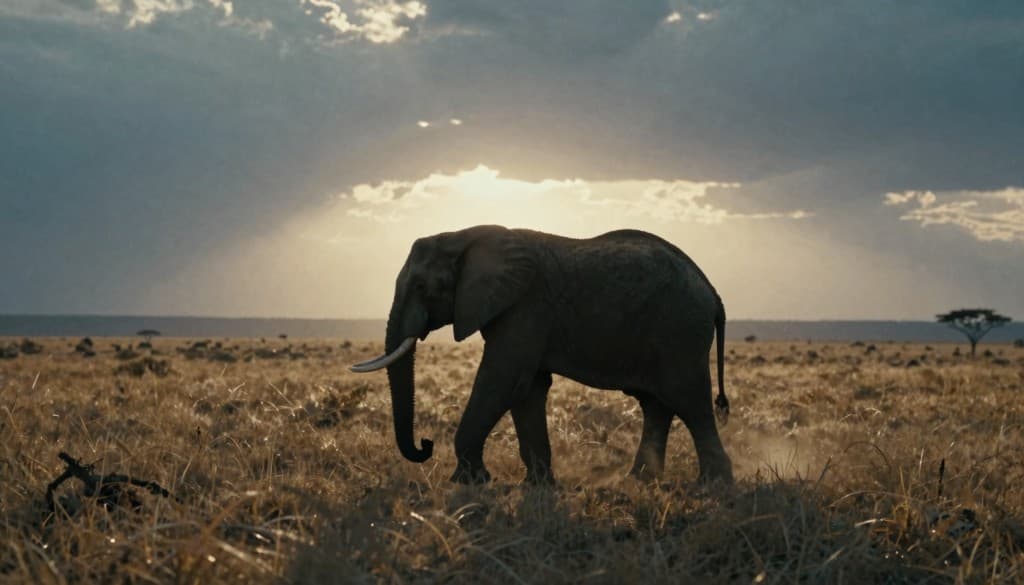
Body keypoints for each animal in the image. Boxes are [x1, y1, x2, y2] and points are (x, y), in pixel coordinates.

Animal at [351, 225, 733, 485]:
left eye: (421, 287)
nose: (426, 444)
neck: (463, 236)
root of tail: (713, 292)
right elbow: (527, 389)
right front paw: (537, 486)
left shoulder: (526, 307)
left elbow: (503, 380)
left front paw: (468, 484)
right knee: (656, 405)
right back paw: (638, 481)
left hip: (680, 331)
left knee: (690, 401)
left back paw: (712, 488)